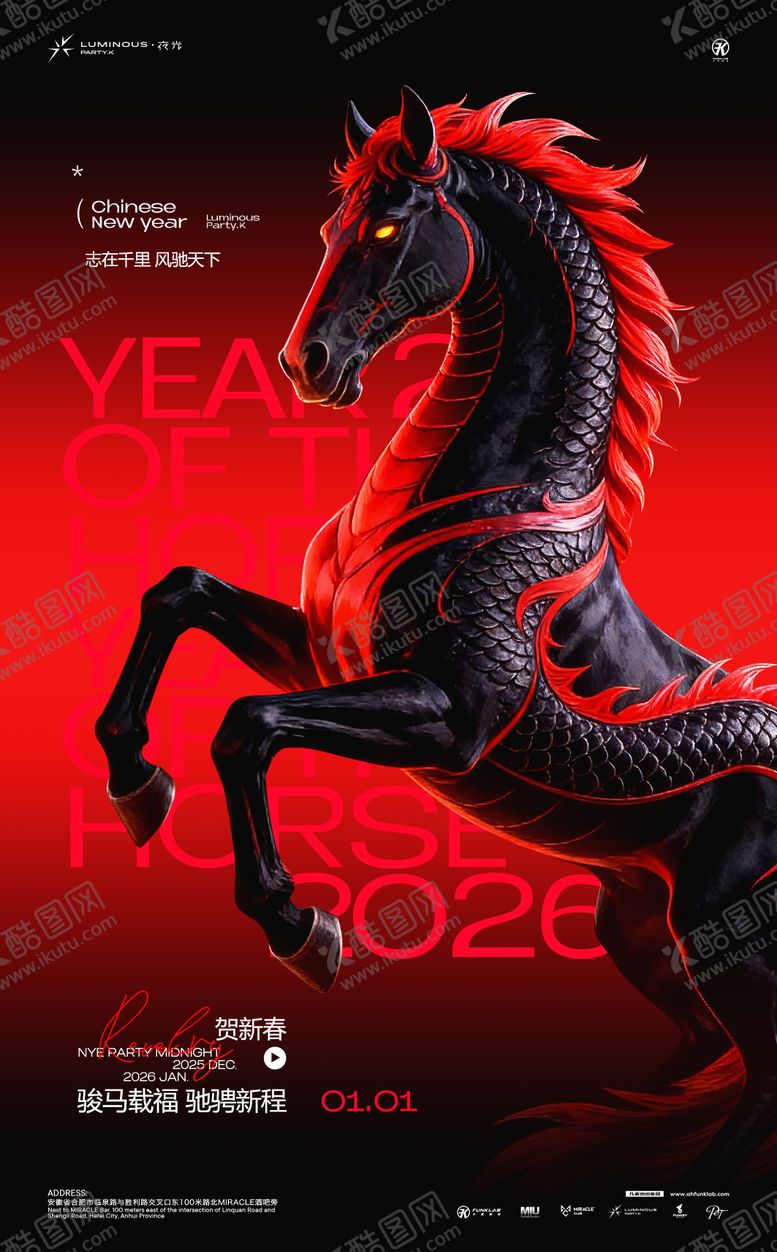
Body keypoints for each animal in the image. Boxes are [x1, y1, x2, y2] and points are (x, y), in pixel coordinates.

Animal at [95, 88, 777, 1181]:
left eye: (383, 227)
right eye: (329, 227)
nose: (308, 364)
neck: (499, 500)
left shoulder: (452, 720)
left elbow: (246, 724)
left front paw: (301, 927)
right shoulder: (326, 653)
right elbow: (180, 592)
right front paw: (134, 783)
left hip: (727, 924)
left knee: (762, 1072)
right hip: (645, 929)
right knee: (704, 1052)